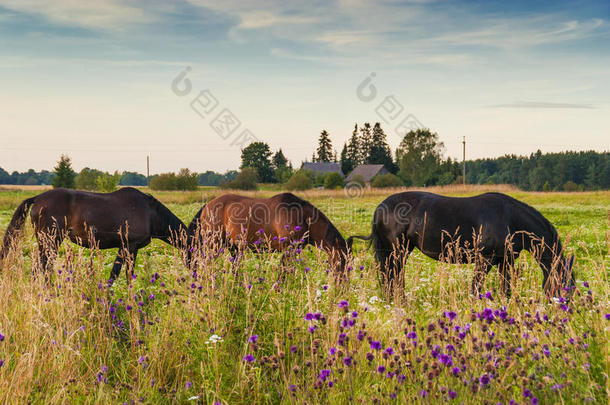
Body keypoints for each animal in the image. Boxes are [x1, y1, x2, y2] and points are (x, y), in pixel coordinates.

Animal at [0, 186, 190, 280]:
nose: (196, 277)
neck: (150, 212)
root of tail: (37, 198)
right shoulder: (129, 246)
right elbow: (122, 275)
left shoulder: (127, 248)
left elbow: (117, 275)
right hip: (50, 242)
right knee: (42, 269)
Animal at [188, 192, 352, 272]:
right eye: (342, 261)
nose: (343, 286)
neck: (300, 215)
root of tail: (207, 206)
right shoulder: (288, 250)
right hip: (213, 246)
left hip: (233, 248)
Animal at [350, 191, 572, 296]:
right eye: (566, 284)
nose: (566, 309)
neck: (509, 218)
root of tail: (381, 207)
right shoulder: (485, 259)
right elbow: (476, 288)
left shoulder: (505, 261)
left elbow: (505, 289)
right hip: (396, 251)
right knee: (394, 278)